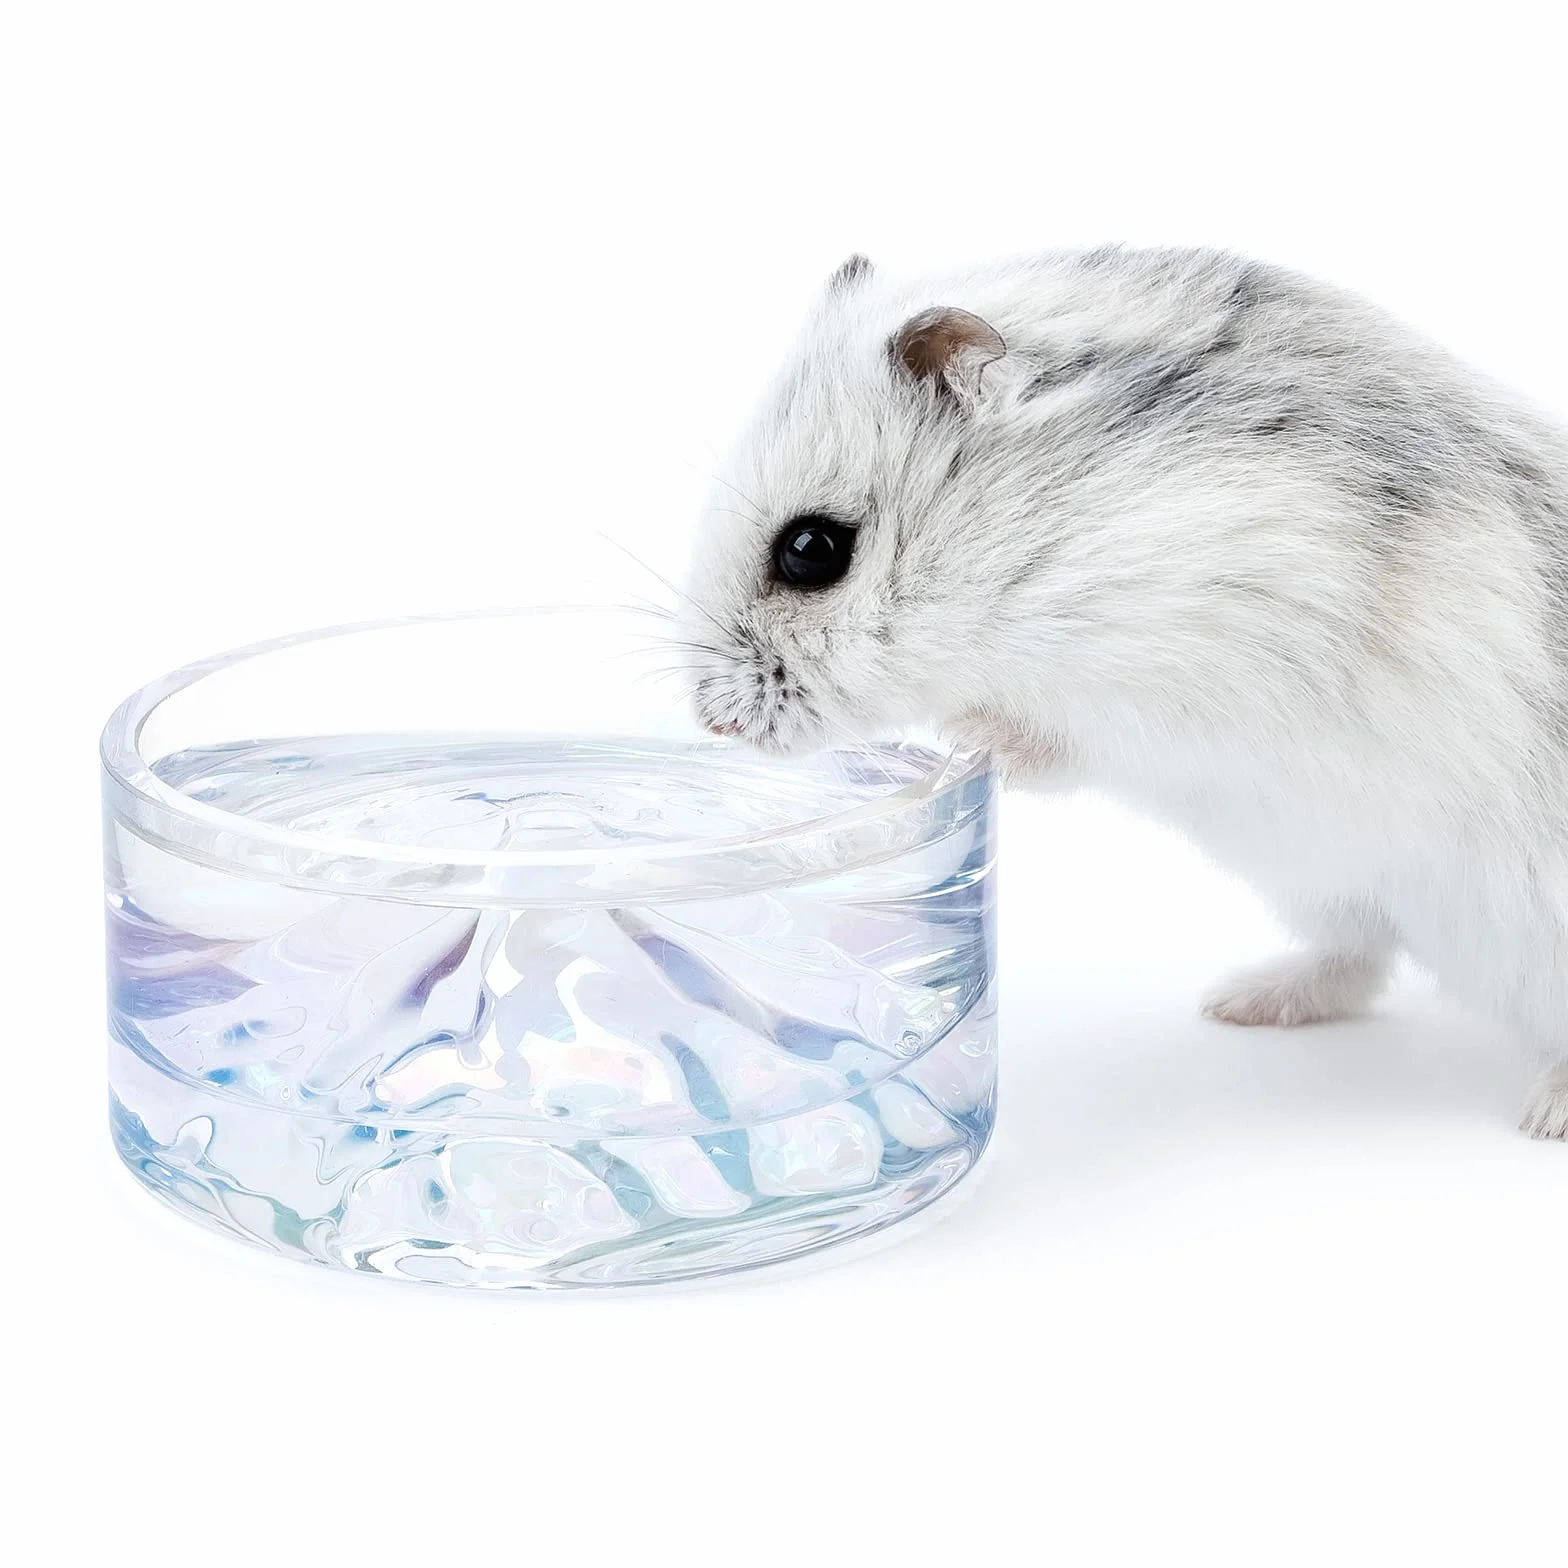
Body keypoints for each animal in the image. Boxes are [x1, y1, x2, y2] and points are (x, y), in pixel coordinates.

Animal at [680, 246, 1568, 1140]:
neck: (1061, 529)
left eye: (812, 550)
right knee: (1359, 959)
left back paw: (1542, 1118)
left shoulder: (1190, 683)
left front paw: (966, 734)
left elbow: (1061, 741)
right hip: (1333, 889)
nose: (711, 722)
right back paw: (1238, 1002)